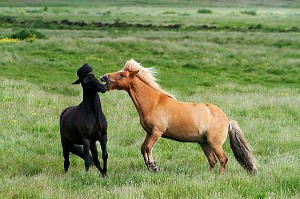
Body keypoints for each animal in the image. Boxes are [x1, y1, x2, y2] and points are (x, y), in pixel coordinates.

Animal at [102, 59, 256, 174]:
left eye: (122, 75)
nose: (104, 77)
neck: (153, 103)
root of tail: (227, 119)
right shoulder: (149, 132)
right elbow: (143, 148)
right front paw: (150, 166)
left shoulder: (157, 132)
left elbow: (148, 148)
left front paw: (153, 166)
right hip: (204, 143)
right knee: (212, 161)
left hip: (215, 143)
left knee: (223, 159)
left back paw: (218, 177)